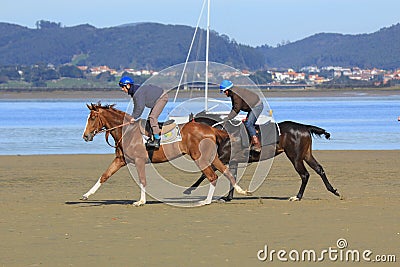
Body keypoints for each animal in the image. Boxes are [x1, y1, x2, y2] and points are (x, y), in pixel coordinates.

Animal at [81, 103, 247, 207]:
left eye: (93, 118)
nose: (85, 136)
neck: (127, 132)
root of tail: (212, 129)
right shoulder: (120, 160)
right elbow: (104, 176)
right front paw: (87, 195)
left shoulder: (139, 160)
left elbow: (142, 180)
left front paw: (141, 201)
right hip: (211, 156)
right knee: (225, 172)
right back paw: (239, 190)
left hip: (199, 157)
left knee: (212, 176)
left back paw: (206, 201)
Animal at [184, 112, 340, 202]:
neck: (224, 133)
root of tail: (305, 127)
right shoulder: (232, 161)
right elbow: (232, 176)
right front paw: (228, 197)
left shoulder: (223, 158)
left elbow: (206, 172)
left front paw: (189, 190)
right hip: (306, 154)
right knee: (319, 169)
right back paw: (333, 190)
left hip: (295, 157)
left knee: (305, 174)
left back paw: (297, 196)